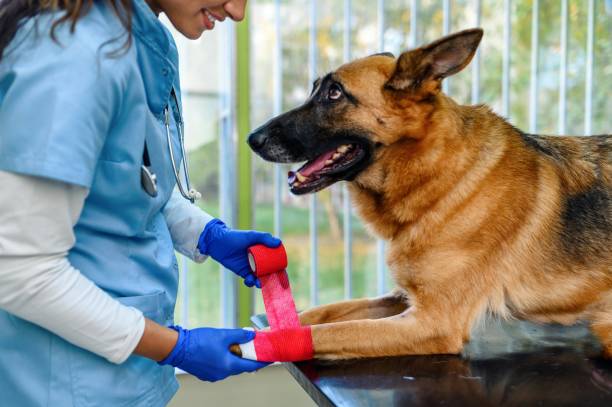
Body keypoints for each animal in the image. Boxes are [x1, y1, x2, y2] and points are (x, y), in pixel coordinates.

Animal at [246, 28, 608, 360]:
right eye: (315, 90)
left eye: (335, 93)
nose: (252, 139)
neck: (440, 176)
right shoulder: (400, 298)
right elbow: (326, 312)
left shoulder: (431, 322)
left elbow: (335, 331)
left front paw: (257, 344)